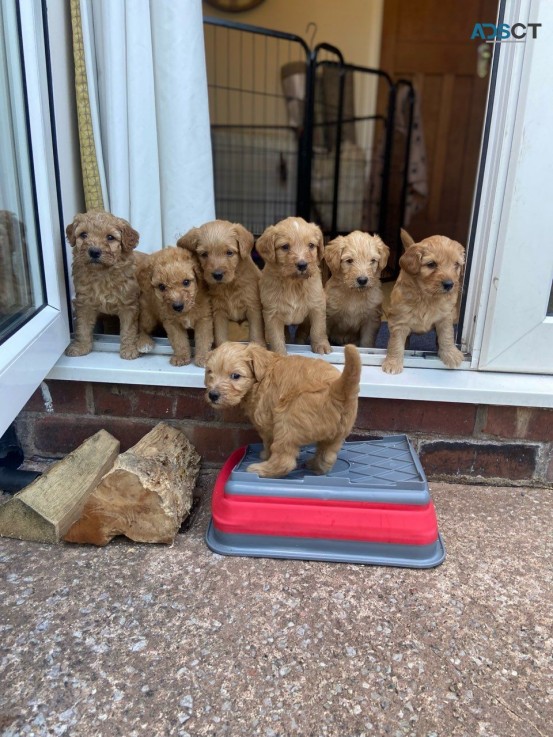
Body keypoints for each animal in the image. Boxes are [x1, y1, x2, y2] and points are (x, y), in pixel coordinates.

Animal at [64, 208, 142, 358]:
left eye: (110, 237)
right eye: (83, 235)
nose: (94, 251)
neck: (102, 274)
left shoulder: (128, 304)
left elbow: (128, 329)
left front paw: (129, 349)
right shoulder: (84, 304)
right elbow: (82, 327)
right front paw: (81, 347)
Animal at [176, 218, 264, 348]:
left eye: (229, 252)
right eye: (204, 254)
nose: (217, 275)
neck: (230, 285)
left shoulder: (253, 307)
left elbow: (256, 332)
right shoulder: (218, 311)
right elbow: (220, 335)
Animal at [205, 340, 360, 478]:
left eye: (235, 376)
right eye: (210, 372)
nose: (212, 395)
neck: (260, 378)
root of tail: (337, 389)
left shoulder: (265, 423)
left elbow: (267, 443)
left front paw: (265, 455)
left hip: (287, 423)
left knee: (284, 461)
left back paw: (260, 469)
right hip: (337, 435)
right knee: (327, 456)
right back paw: (315, 466)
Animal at [256, 214, 330, 356]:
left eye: (311, 245)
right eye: (285, 246)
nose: (302, 265)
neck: (293, 284)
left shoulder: (317, 306)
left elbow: (318, 329)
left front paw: (321, 345)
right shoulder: (272, 314)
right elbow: (276, 337)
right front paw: (279, 354)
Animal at [382, 229, 464, 374]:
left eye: (456, 264)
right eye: (431, 264)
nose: (449, 284)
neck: (427, 297)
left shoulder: (445, 317)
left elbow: (447, 335)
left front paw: (451, 354)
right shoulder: (399, 320)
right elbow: (396, 343)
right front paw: (393, 362)